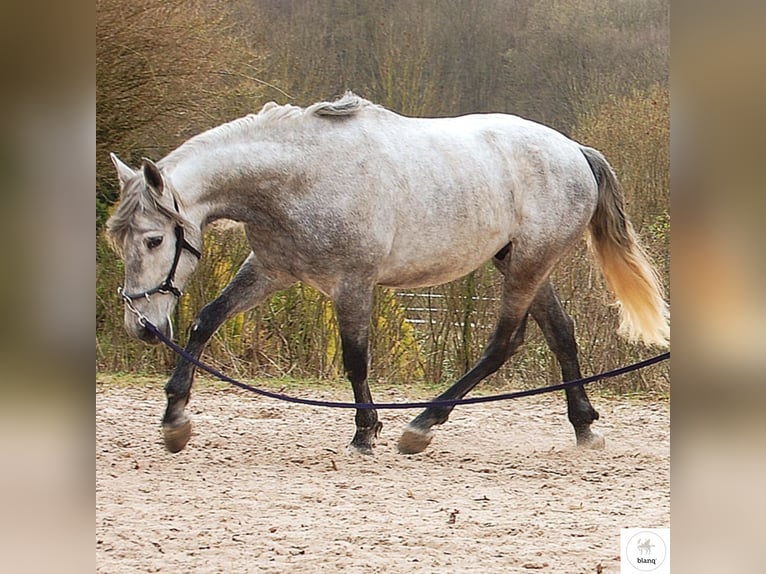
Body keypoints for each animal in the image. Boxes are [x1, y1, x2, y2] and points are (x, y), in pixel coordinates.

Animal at [105, 92, 668, 456]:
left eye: (154, 240)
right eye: (118, 239)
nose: (143, 328)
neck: (299, 178)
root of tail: (575, 151)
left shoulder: (352, 283)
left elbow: (356, 358)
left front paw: (365, 432)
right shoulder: (271, 270)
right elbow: (206, 320)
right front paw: (175, 421)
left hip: (529, 263)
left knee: (504, 344)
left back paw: (421, 426)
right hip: (524, 261)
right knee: (560, 334)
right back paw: (584, 427)